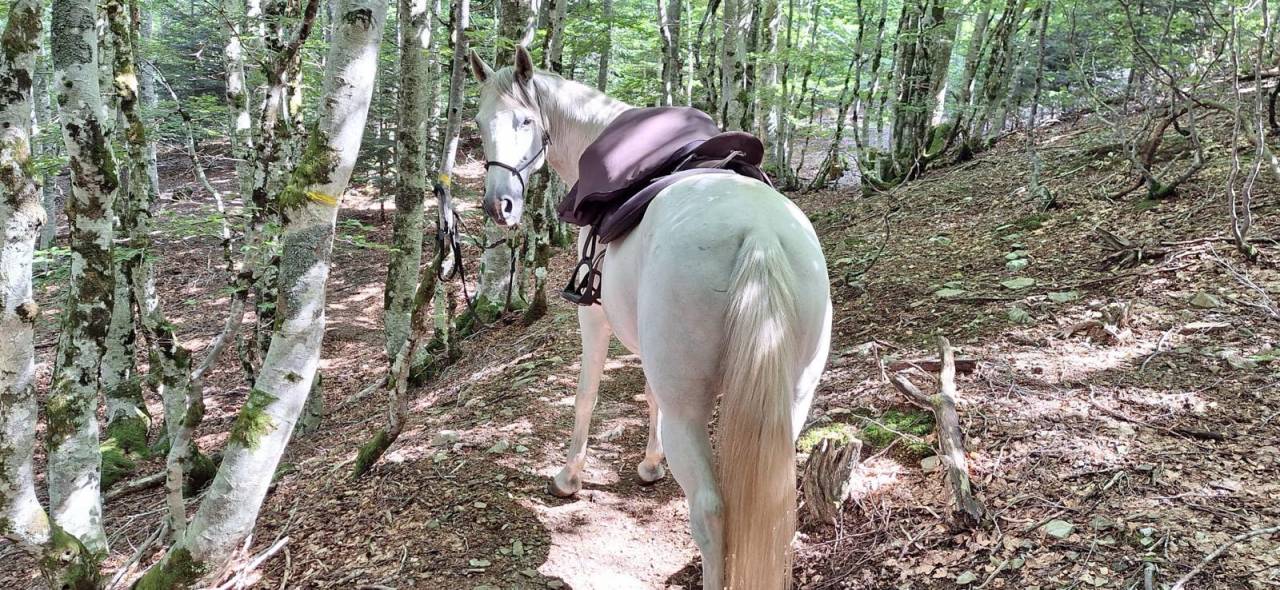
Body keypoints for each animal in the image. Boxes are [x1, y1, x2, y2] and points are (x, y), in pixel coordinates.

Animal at [469, 46, 832, 590]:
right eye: (478, 123)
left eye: (525, 120)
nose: (500, 205)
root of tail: (761, 236)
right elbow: (648, 394)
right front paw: (650, 463)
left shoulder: (594, 319)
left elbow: (587, 396)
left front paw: (569, 477)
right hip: (793, 396)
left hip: (692, 410)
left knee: (710, 510)